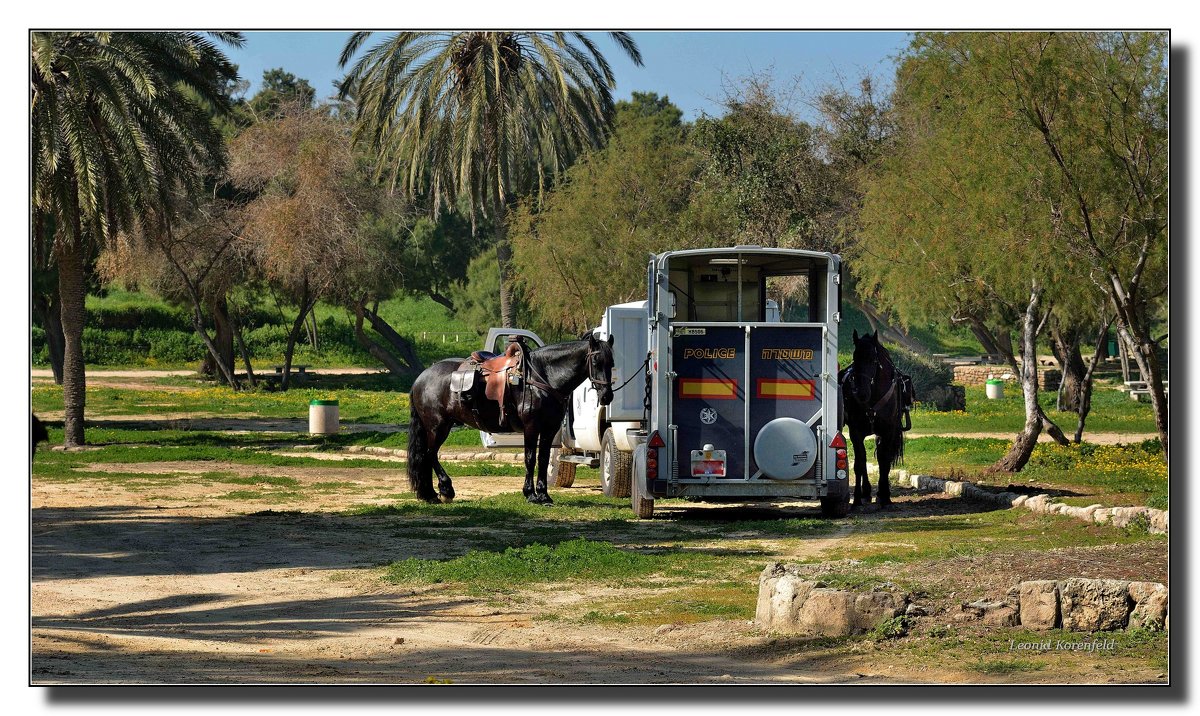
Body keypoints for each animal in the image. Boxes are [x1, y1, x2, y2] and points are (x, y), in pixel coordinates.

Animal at [408, 333, 614, 506]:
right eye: (596, 360)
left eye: (612, 362)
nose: (607, 396)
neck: (543, 377)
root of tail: (421, 378)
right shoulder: (531, 427)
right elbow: (530, 459)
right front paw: (530, 494)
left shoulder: (549, 429)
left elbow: (543, 459)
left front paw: (544, 495)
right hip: (438, 426)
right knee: (430, 454)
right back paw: (445, 490)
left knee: (426, 456)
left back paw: (430, 494)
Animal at [840, 328, 912, 508]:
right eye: (855, 358)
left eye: (873, 359)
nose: (861, 392)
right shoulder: (856, 432)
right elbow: (859, 463)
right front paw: (857, 499)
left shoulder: (887, 431)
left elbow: (884, 461)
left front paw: (884, 496)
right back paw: (866, 492)